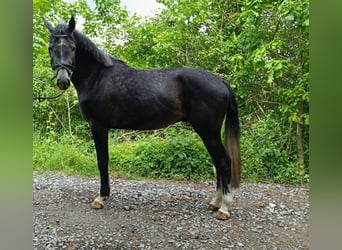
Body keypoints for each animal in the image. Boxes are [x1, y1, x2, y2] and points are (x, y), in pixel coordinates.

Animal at [43, 15, 240, 220]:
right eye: (50, 47)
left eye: (73, 47)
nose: (63, 80)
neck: (97, 77)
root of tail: (220, 81)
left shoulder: (98, 126)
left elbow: (102, 161)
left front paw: (101, 198)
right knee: (218, 162)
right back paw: (215, 203)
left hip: (208, 131)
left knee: (223, 162)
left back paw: (224, 207)